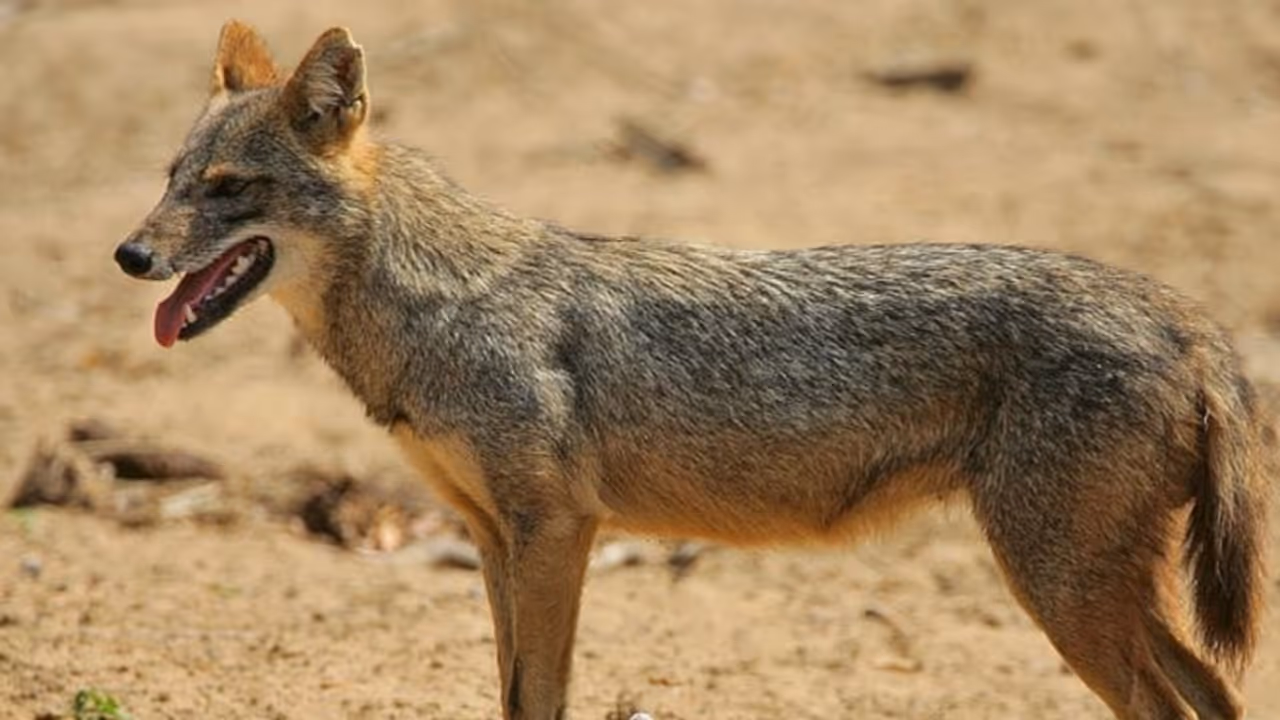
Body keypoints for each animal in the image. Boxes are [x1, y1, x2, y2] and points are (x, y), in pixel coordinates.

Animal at [113, 21, 1269, 720]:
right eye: (170, 179)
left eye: (228, 188)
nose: (127, 256)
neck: (437, 310)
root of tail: (1182, 313)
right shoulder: (492, 538)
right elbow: (511, 692)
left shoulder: (555, 532)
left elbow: (539, 696)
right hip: (1092, 590)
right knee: (1216, 696)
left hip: (1058, 587)